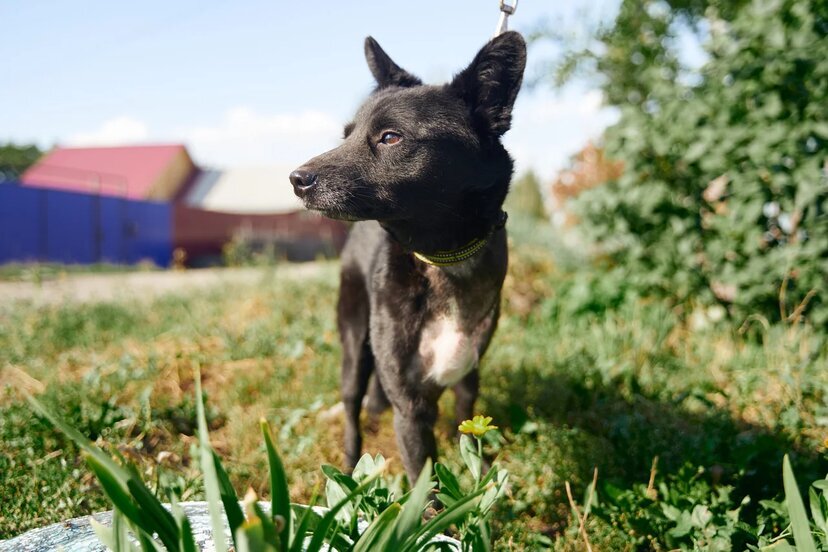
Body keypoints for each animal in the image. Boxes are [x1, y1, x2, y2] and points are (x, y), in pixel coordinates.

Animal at [290, 32, 524, 480]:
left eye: (390, 137)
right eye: (346, 135)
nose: (296, 179)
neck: (444, 259)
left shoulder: (468, 378)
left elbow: (470, 437)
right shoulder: (411, 408)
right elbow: (426, 486)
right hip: (354, 342)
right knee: (351, 407)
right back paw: (349, 467)